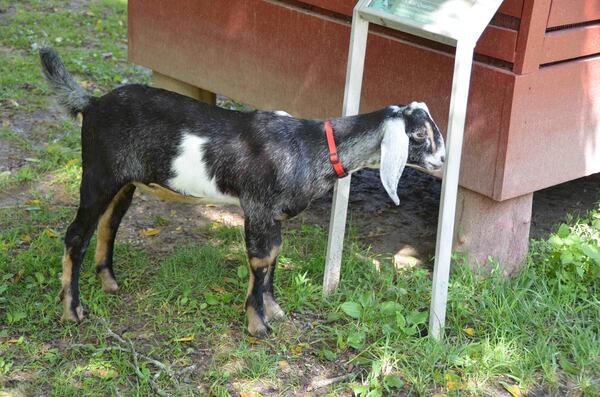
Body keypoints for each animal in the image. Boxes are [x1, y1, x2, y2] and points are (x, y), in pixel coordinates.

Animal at [38, 48, 446, 336]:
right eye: (420, 135)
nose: (444, 160)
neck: (311, 145)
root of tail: (92, 104)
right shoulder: (258, 206)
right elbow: (260, 260)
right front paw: (257, 325)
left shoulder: (275, 216)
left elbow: (275, 255)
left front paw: (274, 310)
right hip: (98, 176)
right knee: (75, 236)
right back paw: (72, 310)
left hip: (124, 184)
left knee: (109, 225)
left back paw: (108, 282)